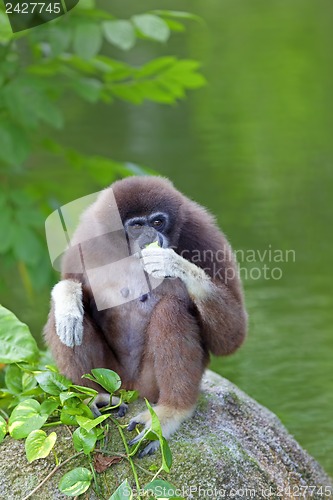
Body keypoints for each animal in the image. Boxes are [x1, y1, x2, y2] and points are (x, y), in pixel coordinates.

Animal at [43, 176, 246, 458]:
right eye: (138, 225)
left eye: (158, 222)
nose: (152, 236)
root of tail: (131, 389)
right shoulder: (86, 238)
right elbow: (72, 289)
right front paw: (68, 298)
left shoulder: (203, 234)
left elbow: (231, 338)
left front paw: (175, 265)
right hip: (111, 374)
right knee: (65, 319)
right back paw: (93, 395)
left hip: (148, 385)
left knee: (170, 310)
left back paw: (171, 411)